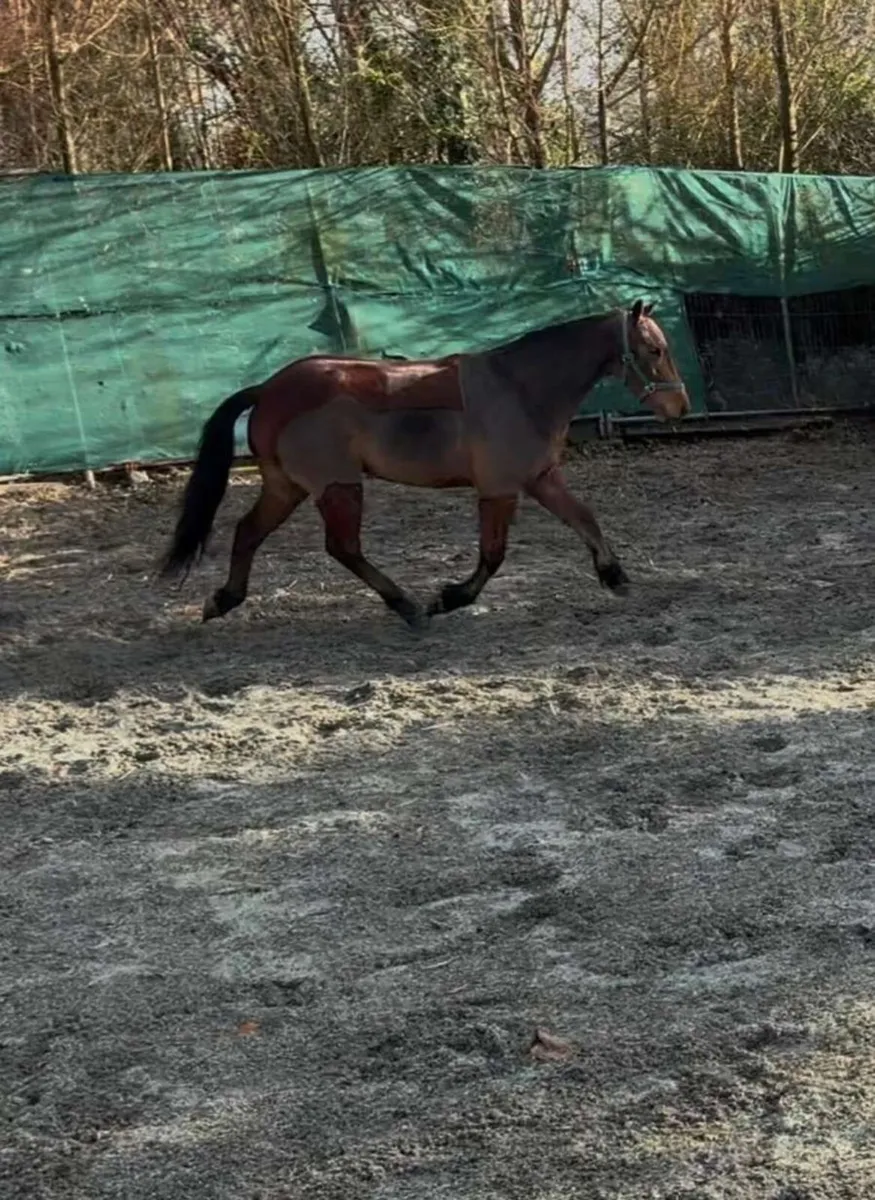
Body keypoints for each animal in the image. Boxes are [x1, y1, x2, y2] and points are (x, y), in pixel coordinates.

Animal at [159, 300, 690, 628]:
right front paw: (448, 598)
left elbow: (584, 517)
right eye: (655, 349)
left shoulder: (540, 478)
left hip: (285, 486)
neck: (519, 386)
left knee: (249, 532)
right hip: (337, 486)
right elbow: (492, 555)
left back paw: (223, 600)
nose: (679, 407)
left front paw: (614, 576)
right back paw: (408, 606)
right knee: (342, 547)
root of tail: (268, 388)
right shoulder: (498, 488)